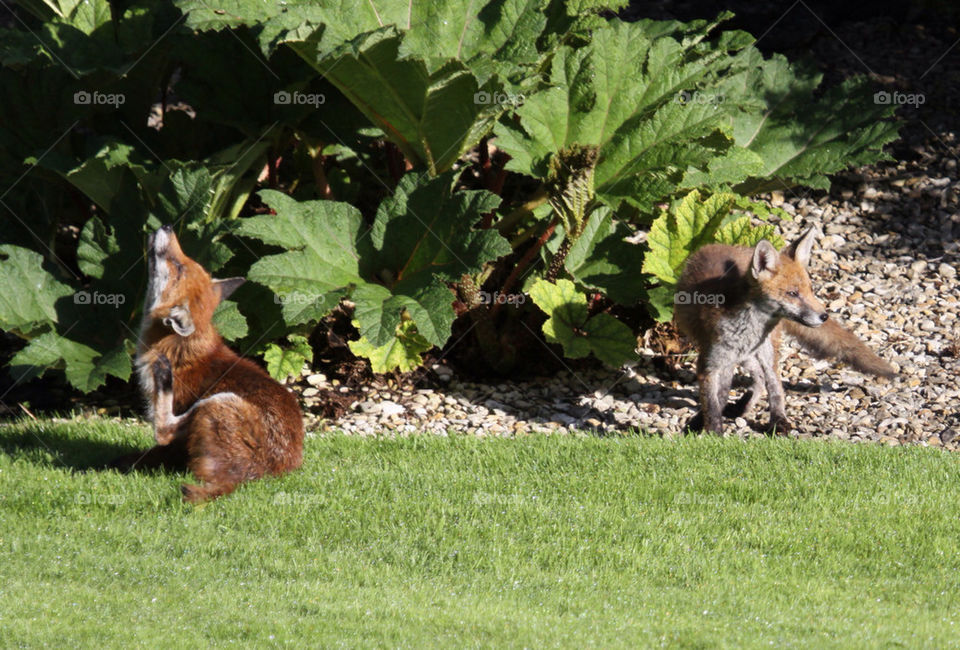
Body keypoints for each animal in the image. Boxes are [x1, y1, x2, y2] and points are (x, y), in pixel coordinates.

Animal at [109, 225, 304, 502]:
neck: (178, 347)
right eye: (188, 262)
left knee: (164, 429)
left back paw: (164, 376)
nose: (168, 227)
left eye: (179, 267)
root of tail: (254, 475)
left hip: (216, 401)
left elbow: (162, 443)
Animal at [674, 227, 895, 435]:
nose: (824, 316)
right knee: (750, 379)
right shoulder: (709, 364)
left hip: (764, 352)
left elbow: (768, 389)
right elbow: (712, 405)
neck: (745, 330)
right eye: (792, 294)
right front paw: (713, 432)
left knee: (768, 381)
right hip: (741, 358)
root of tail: (723, 245)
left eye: (810, 290)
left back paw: (769, 417)